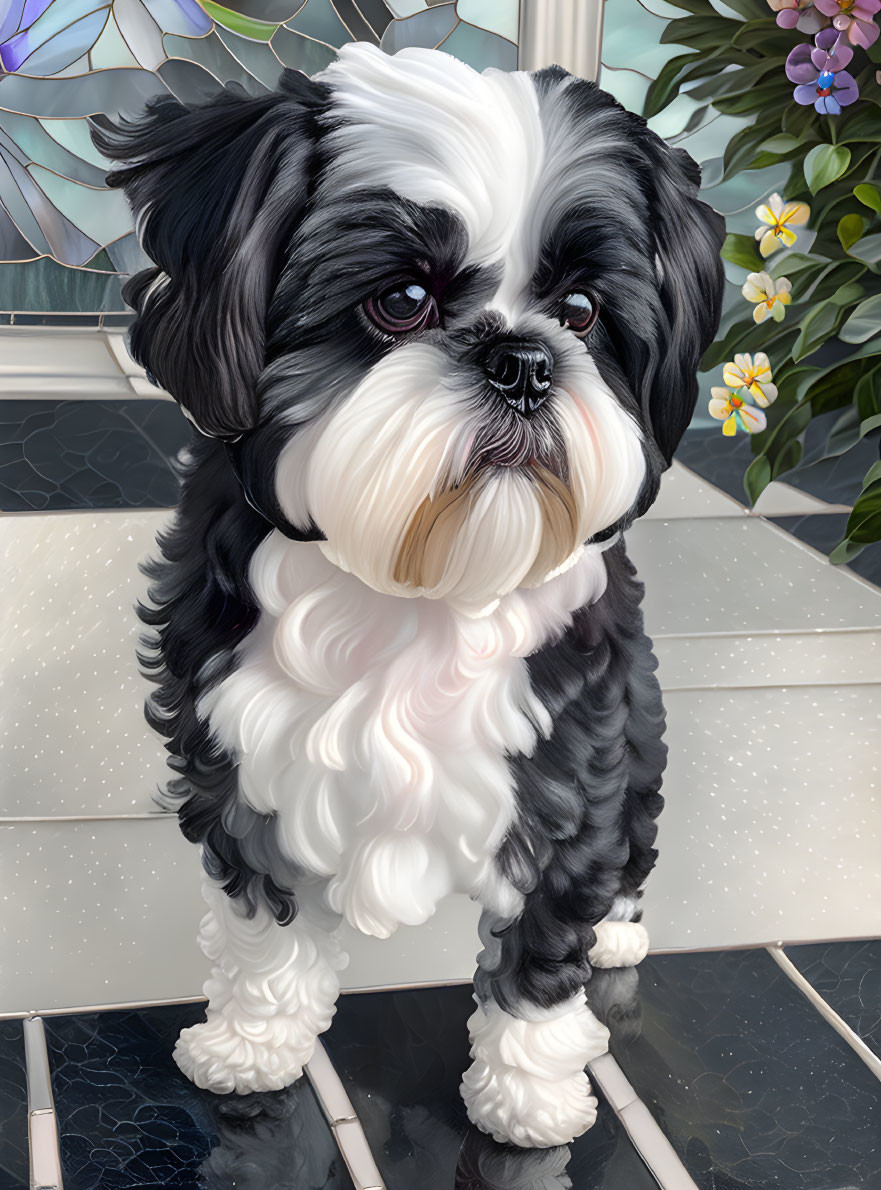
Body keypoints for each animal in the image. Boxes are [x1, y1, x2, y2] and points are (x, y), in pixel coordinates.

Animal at [91, 41, 723, 1147]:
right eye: (401, 298)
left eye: (581, 314)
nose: (524, 361)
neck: (423, 576)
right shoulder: (240, 763)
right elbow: (264, 926)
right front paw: (252, 1043)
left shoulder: (568, 762)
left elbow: (539, 950)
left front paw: (526, 1094)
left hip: (635, 731)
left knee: (633, 834)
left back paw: (615, 929)